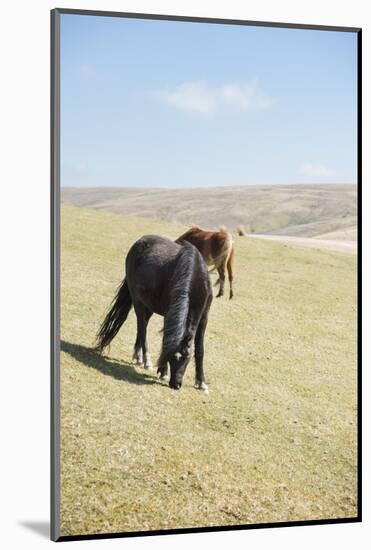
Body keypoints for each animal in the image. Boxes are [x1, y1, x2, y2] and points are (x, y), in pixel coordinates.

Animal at [94, 236, 214, 392]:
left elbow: (200, 350)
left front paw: (201, 382)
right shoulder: (169, 314)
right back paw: (146, 361)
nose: (175, 385)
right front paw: (163, 372)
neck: (195, 275)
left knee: (143, 325)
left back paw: (138, 357)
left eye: (186, 358)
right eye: (172, 358)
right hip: (138, 301)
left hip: (149, 306)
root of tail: (139, 242)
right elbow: (165, 342)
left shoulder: (204, 317)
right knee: (142, 327)